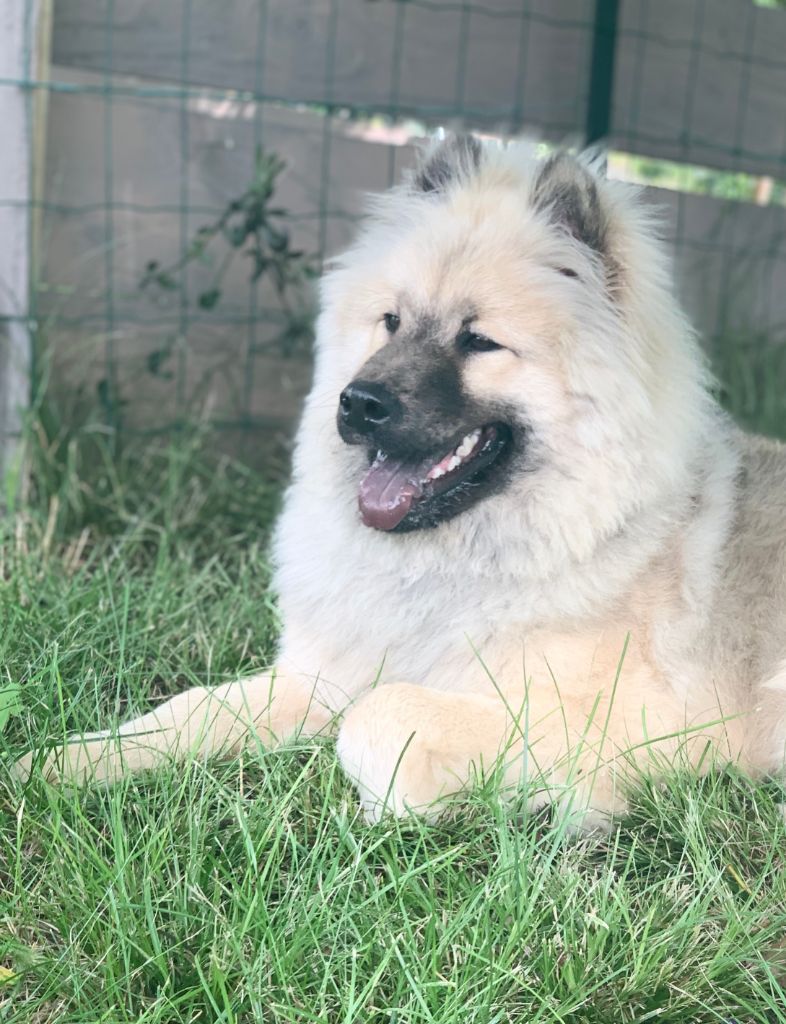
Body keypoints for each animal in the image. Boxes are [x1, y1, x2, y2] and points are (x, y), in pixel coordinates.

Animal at [18, 135, 786, 829]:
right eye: (390, 321)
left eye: (479, 342)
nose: (357, 404)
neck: (446, 565)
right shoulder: (313, 676)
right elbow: (188, 712)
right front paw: (59, 766)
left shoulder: (631, 722)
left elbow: (376, 717)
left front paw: (429, 800)